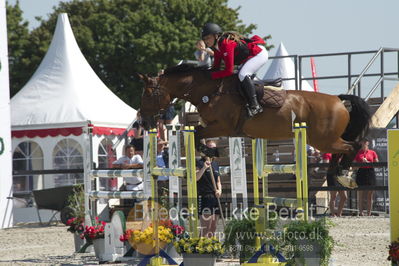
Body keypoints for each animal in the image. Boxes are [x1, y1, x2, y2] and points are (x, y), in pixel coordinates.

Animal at [140, 64, 372, 188]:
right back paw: (336, 175)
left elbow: (197, 134)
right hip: (326, 140)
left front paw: (212, 151)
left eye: (148, 94)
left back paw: (344, 175)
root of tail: (339, 100)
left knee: (353, 146)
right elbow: (198, 133)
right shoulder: (212, 125)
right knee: (342, 150)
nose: (142, 121)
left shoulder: (224, 126)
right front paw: (209, 152)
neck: (211, 90)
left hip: (323, 140)